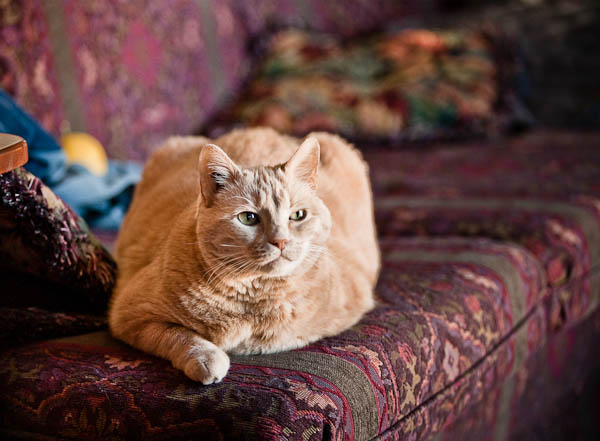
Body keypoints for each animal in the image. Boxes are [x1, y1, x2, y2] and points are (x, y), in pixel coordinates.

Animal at [109, 126, 378, 382]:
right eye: (248, 218)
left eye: (297, 215)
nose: (281, 241)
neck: (252, 299)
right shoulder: (130, 314)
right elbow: (180, 335)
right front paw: (207, 358)